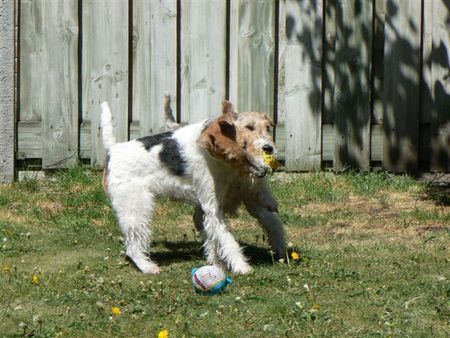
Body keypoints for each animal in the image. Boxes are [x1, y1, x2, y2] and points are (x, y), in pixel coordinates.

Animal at [101, 99, 284, 274]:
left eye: (268, 127)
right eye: (249, 127)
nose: (269, 148)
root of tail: (113, 150)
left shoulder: (243, 196)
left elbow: (270, 219)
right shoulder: (212, 208)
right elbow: (228, 240)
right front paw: (242, 267)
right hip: (136, 208)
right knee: (133, 246)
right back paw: (149, 267)